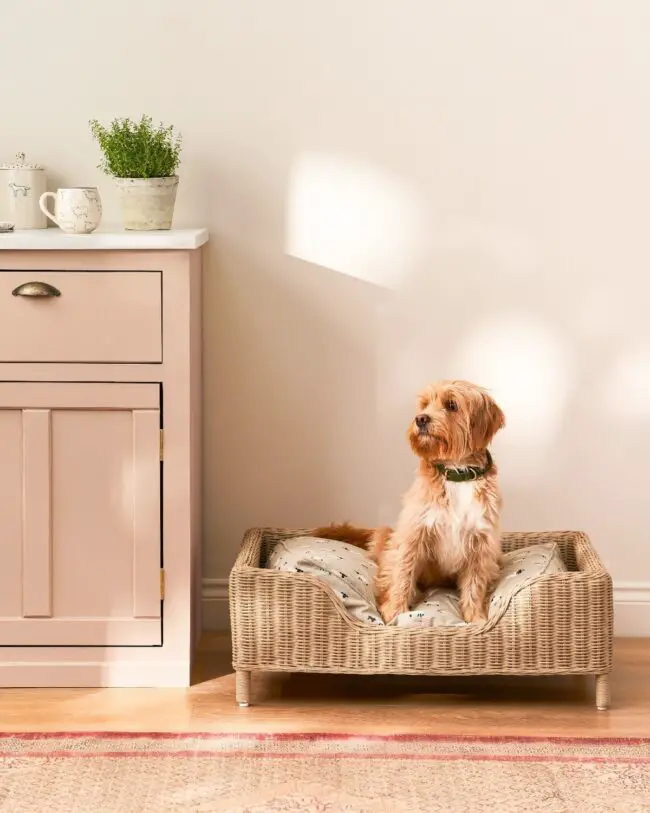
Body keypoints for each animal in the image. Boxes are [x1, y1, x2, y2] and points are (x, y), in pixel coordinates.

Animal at [312, 380, 504, 620]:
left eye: (452, 405)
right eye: (424, 405)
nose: (420, 419)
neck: (455, 474)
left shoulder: (481, 544)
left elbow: (475, 585)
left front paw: (476, 618)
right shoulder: (414, 533)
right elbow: (403, 573)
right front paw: (395, 612)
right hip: (392, 542)